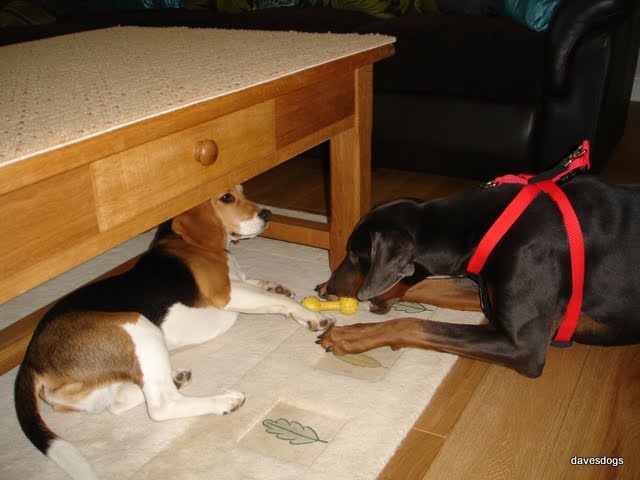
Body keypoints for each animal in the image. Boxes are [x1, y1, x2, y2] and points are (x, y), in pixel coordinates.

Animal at [14, 185, 332, 479]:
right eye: (227, 198)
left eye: (243, 191)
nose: (267, 214)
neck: (182, 240)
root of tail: (32, 359)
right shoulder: (227, 294)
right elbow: (277, 301)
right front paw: (312, 315)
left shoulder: (240, 284)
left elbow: (262, 286)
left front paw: (278, 289)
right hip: (139, 325)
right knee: (161, 406)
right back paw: (223, 401)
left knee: (118, 402)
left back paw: (175, 378)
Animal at [317, 175, 640, 378]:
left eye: (355, 255)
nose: (330, 287)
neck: (488, 227)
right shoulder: (485, 289)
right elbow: (428, 289)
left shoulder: (522, 347)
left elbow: (412, 323)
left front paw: (349, 335)